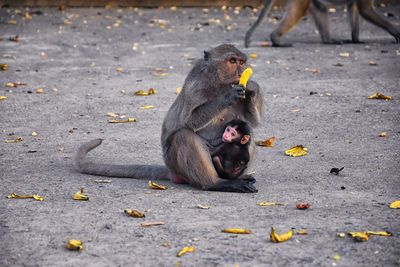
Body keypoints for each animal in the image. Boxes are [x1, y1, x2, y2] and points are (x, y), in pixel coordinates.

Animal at [76, 44, 264, 195]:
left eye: (241, 62)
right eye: (232, 61)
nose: (240, 72)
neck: (219, 83)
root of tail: (172, 171)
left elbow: (252, 123)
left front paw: (252, 87)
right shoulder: (197, 86)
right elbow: (190, 121)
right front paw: (228, 96)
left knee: (249, 134)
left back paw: (238, 176)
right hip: (177, 163)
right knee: (184, 136)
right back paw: (215, 183)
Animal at [244, 0, 400, 47]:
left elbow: (354, 8)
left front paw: (356, 39)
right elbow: (365, 10)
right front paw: (396, 32)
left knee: (320, 9)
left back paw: (328, 40)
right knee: (298, 12)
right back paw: (276, 39)